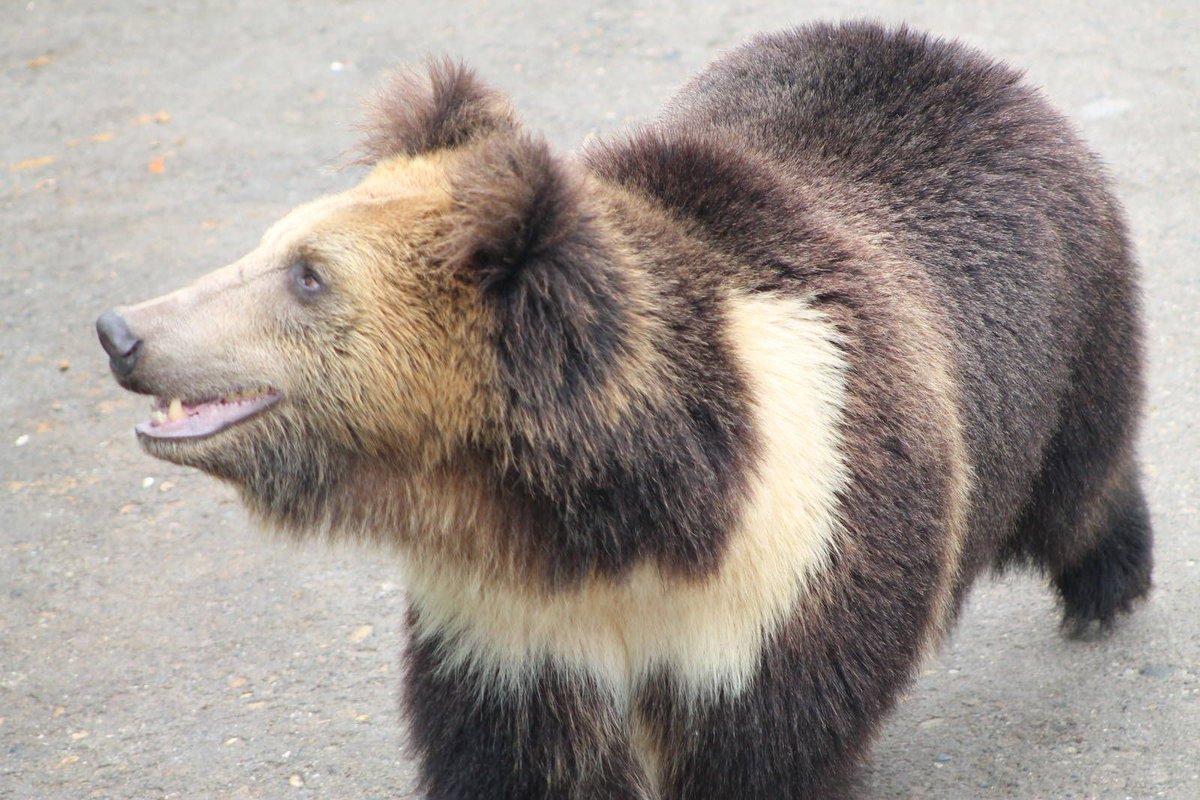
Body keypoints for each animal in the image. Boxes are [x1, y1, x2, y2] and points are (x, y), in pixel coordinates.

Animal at [97, 20, 1152, 799]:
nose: (120, 331)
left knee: (1079, 479)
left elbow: (765, 753)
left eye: (308, 274)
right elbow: (514, 759)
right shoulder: (509, 634)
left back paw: (1108, 586)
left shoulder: (789, 576)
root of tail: (965, 61)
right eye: (272, 243)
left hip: (1061, 335)